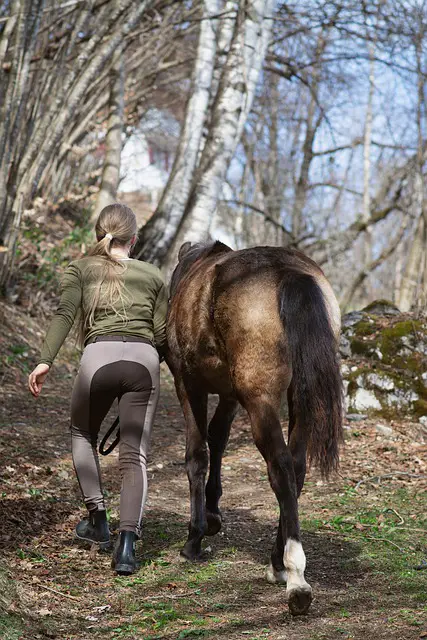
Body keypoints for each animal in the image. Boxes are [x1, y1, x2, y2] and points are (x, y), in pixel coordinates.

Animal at [166, 241, 342, 616]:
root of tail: (287, 271)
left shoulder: (187, 385)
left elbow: (197, 455)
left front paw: (195, 537)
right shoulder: (230, 395)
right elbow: (218, 439)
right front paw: (212, 514)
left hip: (260, 401)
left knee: (280, 467)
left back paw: (295, 575)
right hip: (299, 400)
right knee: (296, 469)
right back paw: (278, 561)